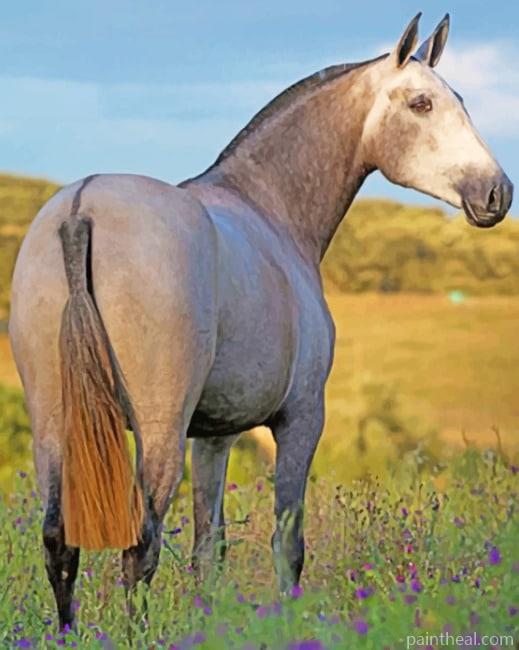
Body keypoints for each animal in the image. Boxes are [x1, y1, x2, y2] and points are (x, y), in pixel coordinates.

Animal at [8, 13, 513, 629]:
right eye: (421, 103)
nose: (497, 192)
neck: (270, 208)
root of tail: (81, 209)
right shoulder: (301, 419)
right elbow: (287, 545)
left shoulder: (214, 436)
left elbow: (209, 548)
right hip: (157, 429)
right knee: (139, 547)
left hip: (54, 426)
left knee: (60, 544)